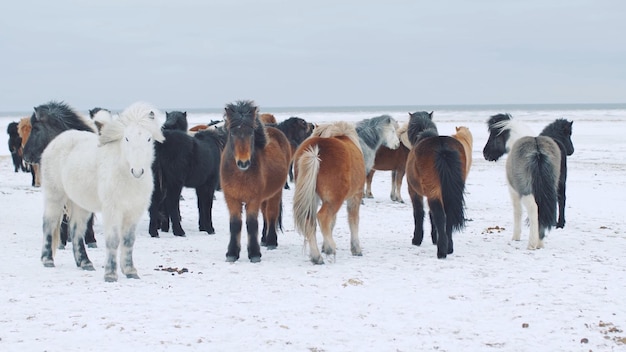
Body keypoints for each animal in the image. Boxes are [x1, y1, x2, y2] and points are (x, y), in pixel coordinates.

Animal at [40, 101, 165, 280]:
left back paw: (84, 263)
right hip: (54, 196)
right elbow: (113, 240)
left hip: (80, 204)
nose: (137, 171)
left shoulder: (133, 212)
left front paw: (130, 271)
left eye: (149, 139)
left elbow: (128, 241)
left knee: (76, 230)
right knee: (49, 224)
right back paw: (48, 260)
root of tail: (57, 140)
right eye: (127, 138)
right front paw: (110, 274)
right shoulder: (112, 210)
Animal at [218, 99, 292, 262]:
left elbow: (252, 224)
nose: (243, 162)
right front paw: (232, 253)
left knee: (271, 214)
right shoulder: (231, 198)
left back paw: (271, 241)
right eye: (233, 132)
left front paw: (254, 253)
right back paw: (263, 239)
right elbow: (235, 224)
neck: (240, 175)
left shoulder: (253, 199)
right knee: (265, 215)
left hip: (275, 193)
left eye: (251, 132)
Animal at [292, 121, 366, 264]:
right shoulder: (355, 196)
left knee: (310, 222)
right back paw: (331, 249)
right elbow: (353, 220)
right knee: (323, 217)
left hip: (313, 198)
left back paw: (317, 257)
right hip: (335, 199)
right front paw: (356, 249)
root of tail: (315, 153)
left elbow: (333, 222)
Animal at [480, 115, 572, 248]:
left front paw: (515, 237)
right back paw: (540, 241)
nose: (485, 154)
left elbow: (517, 212)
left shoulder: (513, 191)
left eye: (493, 135)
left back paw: (532, 243)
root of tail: (537, 150)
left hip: (526, 191)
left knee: (533, 209)